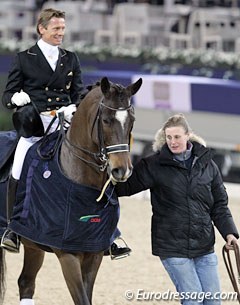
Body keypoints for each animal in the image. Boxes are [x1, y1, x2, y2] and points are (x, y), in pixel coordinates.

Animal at [0, 76, 142, 304]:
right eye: (106, 120)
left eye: (132, 121)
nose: (123, 170)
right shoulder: (68, 255)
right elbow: (81, 298)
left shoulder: (93, 252)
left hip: (33, 244)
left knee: (26, 282)